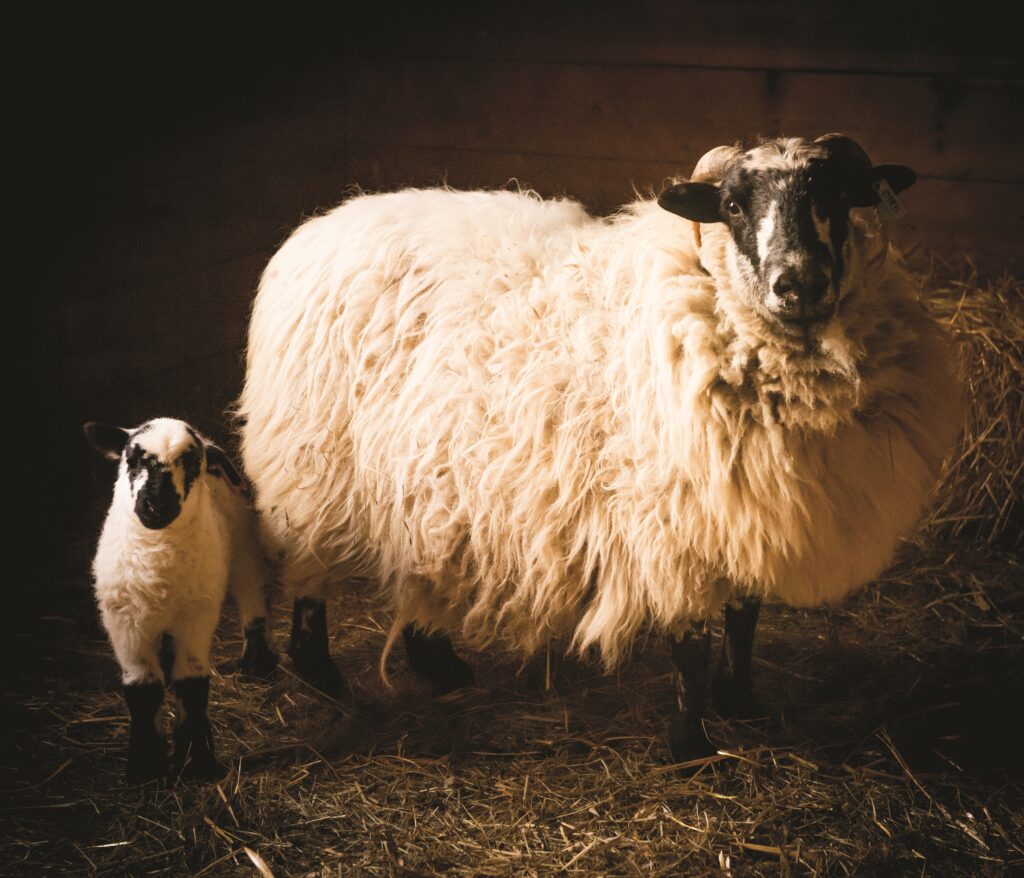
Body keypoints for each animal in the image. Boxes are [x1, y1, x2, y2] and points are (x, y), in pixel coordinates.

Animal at [85, 417, 278, 782]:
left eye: (191, 463)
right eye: (133, 458)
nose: (156, 505)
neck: (157, 558)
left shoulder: (197, 616)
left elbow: (192, 684)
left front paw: (198, 762)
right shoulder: (124, 621)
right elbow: (142, 689)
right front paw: (145, 766)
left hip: (243, 545)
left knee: (252, 597)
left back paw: (257, 665)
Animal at [237, 133, 963, 761]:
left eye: (838, 194)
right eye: (732, 205)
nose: (799, 282)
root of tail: (322, 224)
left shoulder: (743, 505)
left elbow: (745, 618)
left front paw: (742, 705)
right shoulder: (675, 521)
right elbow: (692, 644)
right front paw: (690, 747)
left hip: (424, 477)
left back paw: (440, 668)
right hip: (311, 473)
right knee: (308, 583)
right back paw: (329, 681)